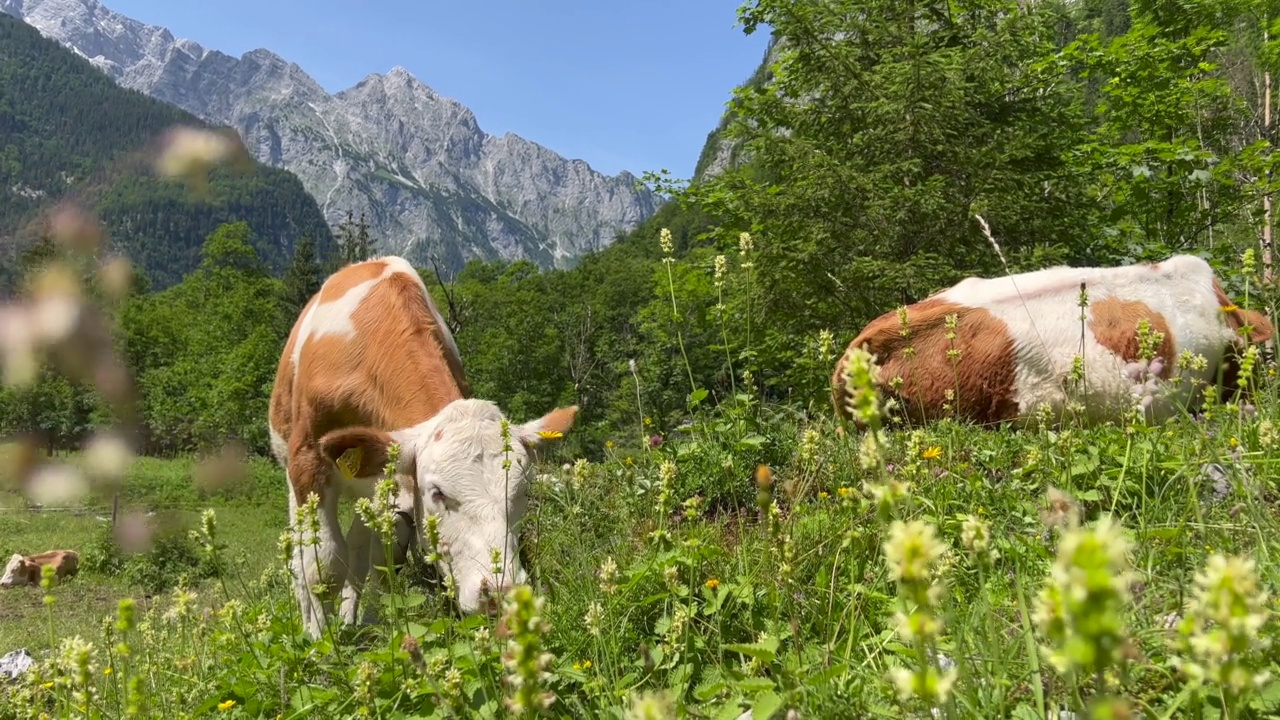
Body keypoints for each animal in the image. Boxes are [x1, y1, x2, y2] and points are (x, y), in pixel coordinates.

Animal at [270, 254, 581, 635]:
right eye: (438, 493)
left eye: (523, 491)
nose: (500, 593)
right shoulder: (308, 460)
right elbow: (321, 565)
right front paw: (319, 640)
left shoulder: (397, 487)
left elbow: (382, 558)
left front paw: (374, 623)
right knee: (305, 557)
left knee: (362, 550)